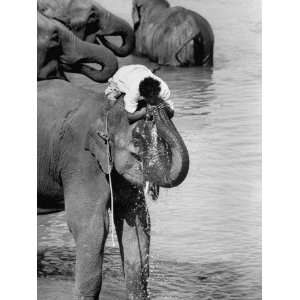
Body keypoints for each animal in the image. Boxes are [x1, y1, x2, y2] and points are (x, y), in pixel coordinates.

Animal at [37, 78, 188, 298]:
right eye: (136, 143)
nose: (156, 104)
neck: (105, 107)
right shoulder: (81, 160)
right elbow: (91, 227)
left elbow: (136, 224)